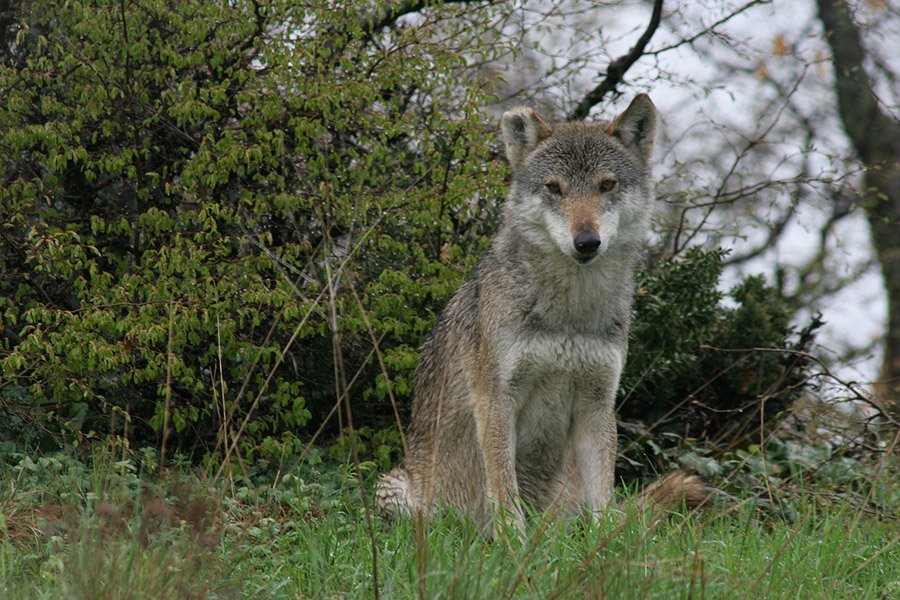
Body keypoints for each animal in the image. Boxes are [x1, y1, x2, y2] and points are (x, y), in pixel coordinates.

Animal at [372, 96, 712, 536]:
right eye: (554, 187)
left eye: (607, 185)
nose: (586, 241)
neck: (569, 315)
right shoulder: (496, 400)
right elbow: (503, 488)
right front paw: (512, 542)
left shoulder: (597, 405)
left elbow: (603, 495)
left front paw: (604, 545)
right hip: (396, 492)